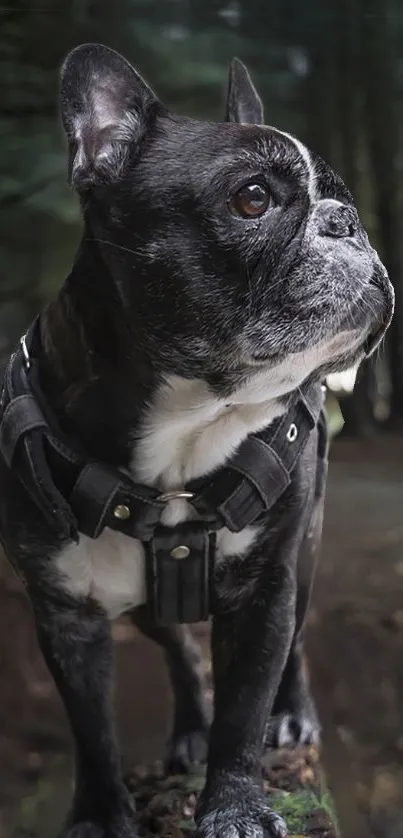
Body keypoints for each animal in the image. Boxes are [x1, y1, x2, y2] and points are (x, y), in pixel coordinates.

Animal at [0, 46, 394, 838]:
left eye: (341, 198)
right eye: (252, 199)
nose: (348, 220)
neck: (187, 434)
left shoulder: (264, 590)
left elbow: (243, 707)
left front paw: (234, 807)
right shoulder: (65, 613)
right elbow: (91, 728)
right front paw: (99, 815)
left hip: (304, 550)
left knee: (294, 645)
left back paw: (291, 717)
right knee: (178, 644)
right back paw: (187, 729)